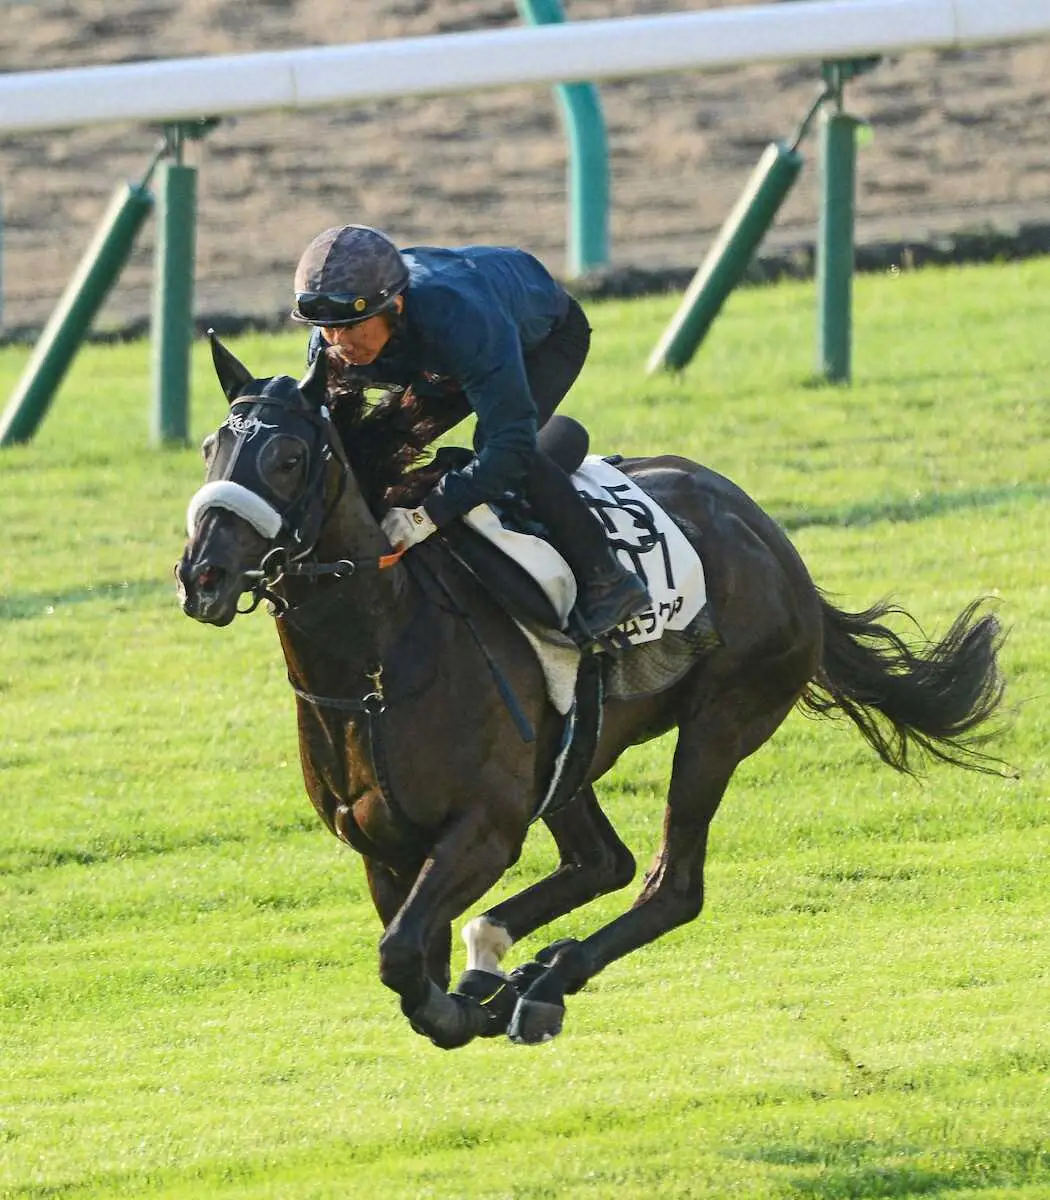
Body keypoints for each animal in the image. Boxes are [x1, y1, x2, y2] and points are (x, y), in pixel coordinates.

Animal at [176, 338, 1008, 1051]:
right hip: (573, 756)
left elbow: (405, 959)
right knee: (604, 861)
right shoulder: (383, 852)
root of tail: (769, 534)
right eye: (211, 448)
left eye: (287, 457)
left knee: (672, 886)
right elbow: (410, 955)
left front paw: (477, 1005)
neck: (375, 666)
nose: (202, 574)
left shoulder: (486, 828)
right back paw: (518, 968)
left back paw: (543, 981)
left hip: (723, 721)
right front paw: (479, 987)